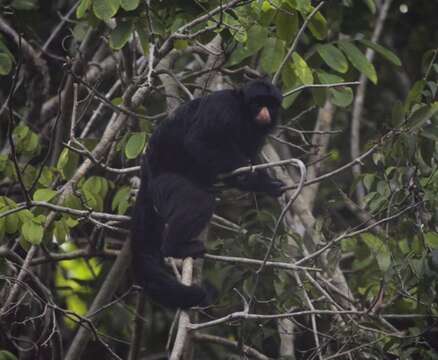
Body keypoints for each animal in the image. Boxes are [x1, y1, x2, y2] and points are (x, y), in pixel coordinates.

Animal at [131, 80, 284, 308]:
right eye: (258, 104)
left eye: (271, 105)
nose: (265, 113)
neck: (243, 114)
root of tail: (147, 169)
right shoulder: (222, 107)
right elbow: (198, 141)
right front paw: (255, 178)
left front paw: (264, 184)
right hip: (164, 182)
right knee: (200, 201)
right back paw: (175, 248)